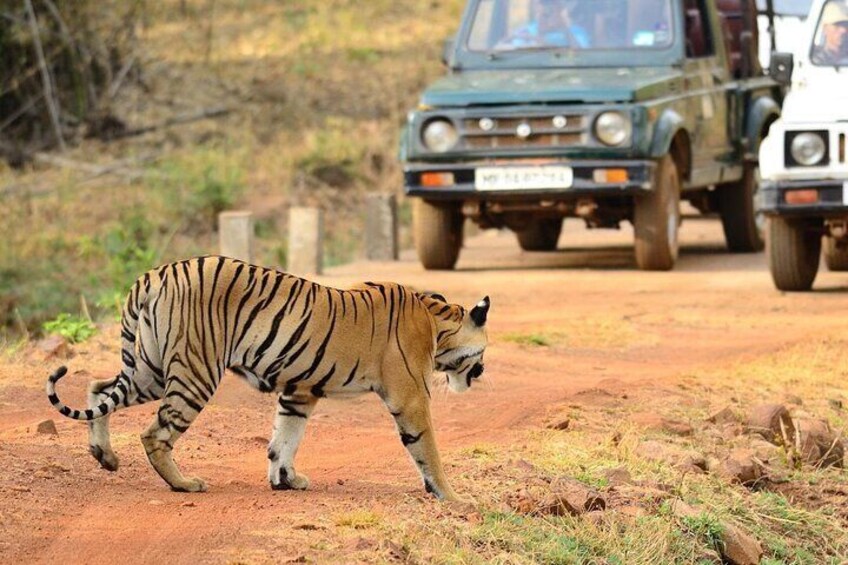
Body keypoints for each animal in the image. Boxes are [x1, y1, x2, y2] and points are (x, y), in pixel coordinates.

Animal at [43, 256, 486, 502]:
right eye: (482, 354)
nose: (481, 374)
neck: (435, 320)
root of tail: (154, 275)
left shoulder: (299, 391)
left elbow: (284, 439)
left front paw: (285, 480)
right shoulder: (411, 398)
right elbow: (428, 450)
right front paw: (453, 497)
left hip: (149, 368)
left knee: (99, 388)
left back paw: (105, 456)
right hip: (194, 373)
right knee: (155, 434)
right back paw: (184, 484)